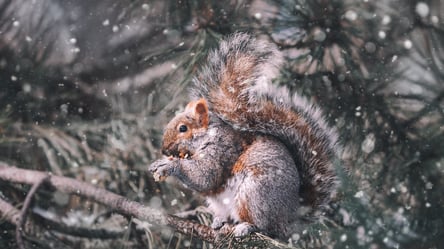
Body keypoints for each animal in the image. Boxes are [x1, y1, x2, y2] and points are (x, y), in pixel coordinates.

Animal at [149, 32, 340, 239]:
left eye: (183, 128)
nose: (164, 149)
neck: (207, 136)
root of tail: (291, 219)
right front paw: (158, 163)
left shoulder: (221, 150)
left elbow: (205, 177)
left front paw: (169, 165)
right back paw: (219, 221)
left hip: (255, 194)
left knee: (267, 227)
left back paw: (247, 227)